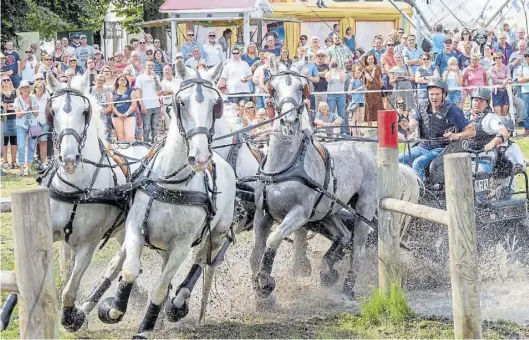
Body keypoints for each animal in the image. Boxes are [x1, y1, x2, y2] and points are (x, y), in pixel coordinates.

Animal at [42, 70, 151, 330]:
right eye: (53, 111)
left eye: (84, 111)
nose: (69, 159)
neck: (76, 188)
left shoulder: (87, 245)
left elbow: (70, 290)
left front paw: (72, 317)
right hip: (123, 230)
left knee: (120, 262)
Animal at [96, 60, 235, 338]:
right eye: (181, 102)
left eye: (215, 104)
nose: (200, 157)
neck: (172, 184)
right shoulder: (135, 227)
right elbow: (130, 269)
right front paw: (113, 307)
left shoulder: (182, 245)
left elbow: (160, 288)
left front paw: (145, 328)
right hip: (164, 246)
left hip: (216, 234)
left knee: (203, 264)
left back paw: (184, 306)